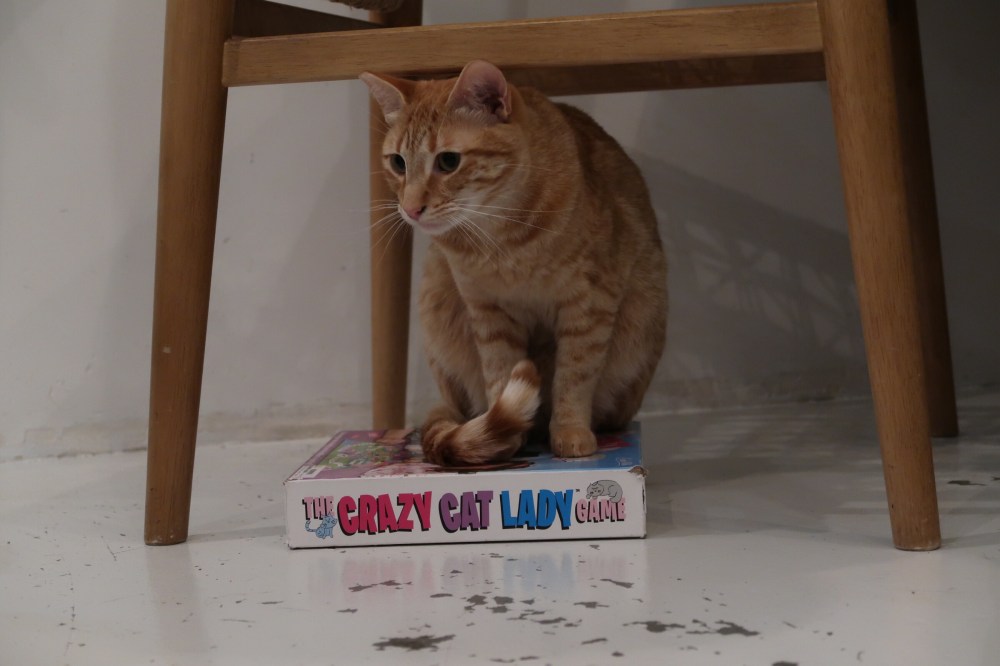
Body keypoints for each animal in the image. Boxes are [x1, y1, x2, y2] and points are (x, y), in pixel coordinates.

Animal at [362, 60, 667, 466]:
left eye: (448, 161)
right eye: (398, 163)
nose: (410, 209)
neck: (502, 242)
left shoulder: (590, 306)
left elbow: (575, 376)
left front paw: (570, 432)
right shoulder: (488, 314)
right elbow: (500, 374)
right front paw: (504, 437)